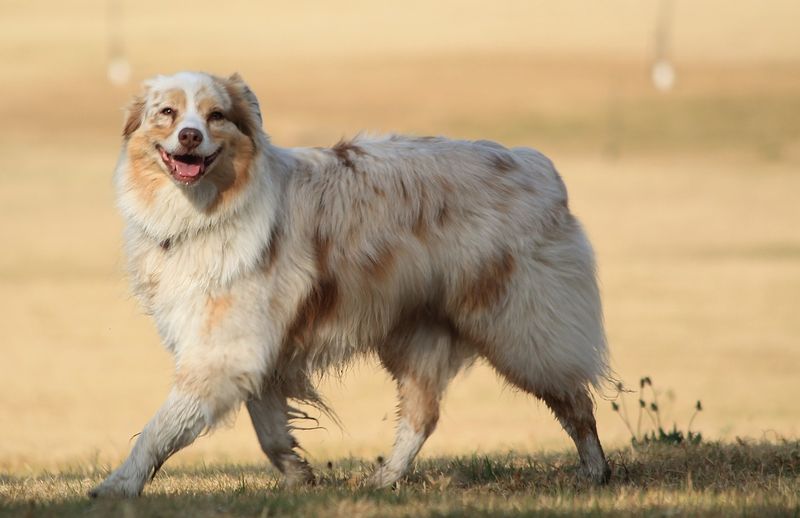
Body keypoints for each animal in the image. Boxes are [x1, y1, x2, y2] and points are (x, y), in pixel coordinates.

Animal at [87, 71, 608, 498]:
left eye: (216, 115)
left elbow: (161, 427)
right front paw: (300, 476)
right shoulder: (251, 350)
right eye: (167, 113)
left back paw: (596, 471)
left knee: (575, 399)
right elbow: (269, 430)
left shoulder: (222, 352)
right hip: (416, 333)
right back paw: (384, 480)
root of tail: (535, 165)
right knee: (422, 416)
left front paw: (119, 485)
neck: (206, 212)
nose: (190, 135)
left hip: (521, 327)